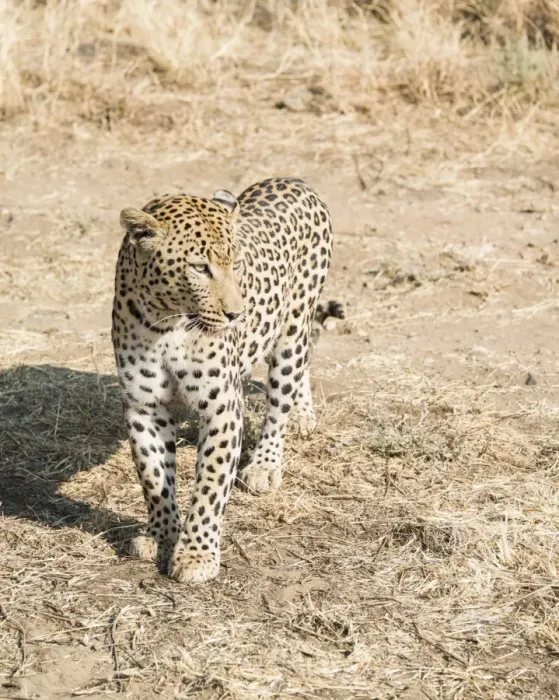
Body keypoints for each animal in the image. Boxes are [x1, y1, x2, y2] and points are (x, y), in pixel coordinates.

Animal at [112, 177, 333, 584]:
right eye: (200, 268)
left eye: (238, 263)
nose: (236, 314)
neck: (168, 323)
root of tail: (293, 180)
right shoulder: (143, 405)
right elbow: (153, 477)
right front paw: (161, 536)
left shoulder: (222, 406)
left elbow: (211, 485)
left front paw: (196, 555)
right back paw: (304, 415)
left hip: (293, 324)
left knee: (282, 393)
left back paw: (265, 463)